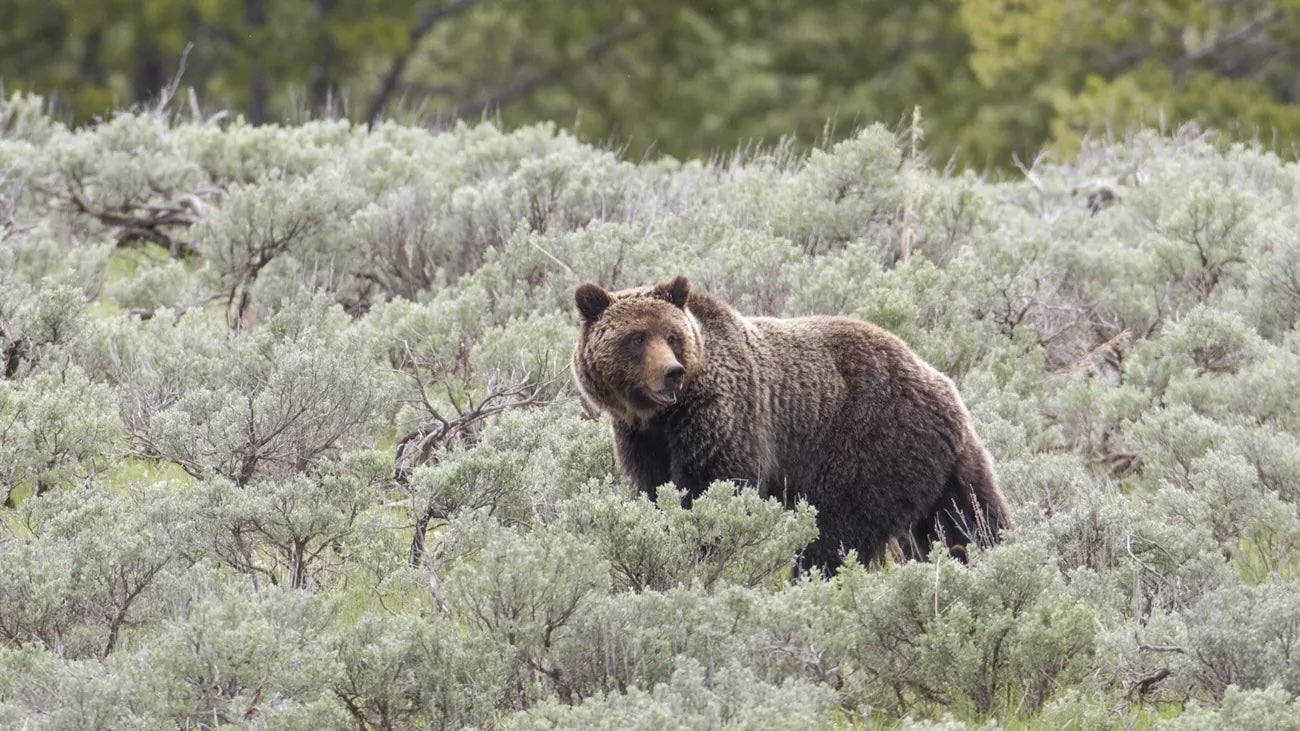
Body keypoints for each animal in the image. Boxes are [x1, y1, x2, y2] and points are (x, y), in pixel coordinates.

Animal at [570, 275, 1013, 574]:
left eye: (672, 335)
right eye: (636, 337)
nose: (671, 373)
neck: (662, 417)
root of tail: (945, 387)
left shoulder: (724, 419)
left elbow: (715, 489)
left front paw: (707, 549)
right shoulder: (641, 440)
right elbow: (654, 491)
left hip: (871, 445)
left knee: (837, 531)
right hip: (942, 466)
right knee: (968, 518)